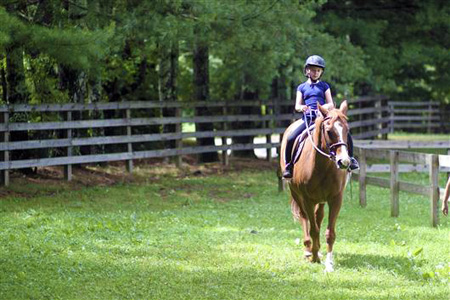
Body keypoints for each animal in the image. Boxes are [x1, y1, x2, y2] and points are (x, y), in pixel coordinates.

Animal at [282, 101, 352, 272]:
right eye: (329, 131)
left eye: (347, 130)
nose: (344, 162)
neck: (322, 166)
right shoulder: (307, 199)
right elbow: (313, 229)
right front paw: (314, 257)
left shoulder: (336, 199)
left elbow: (329, 233)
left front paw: (329, 264)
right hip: (296, 195)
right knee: (305, 218)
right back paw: (308, 250)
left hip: (320, 200)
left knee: (318, 217)